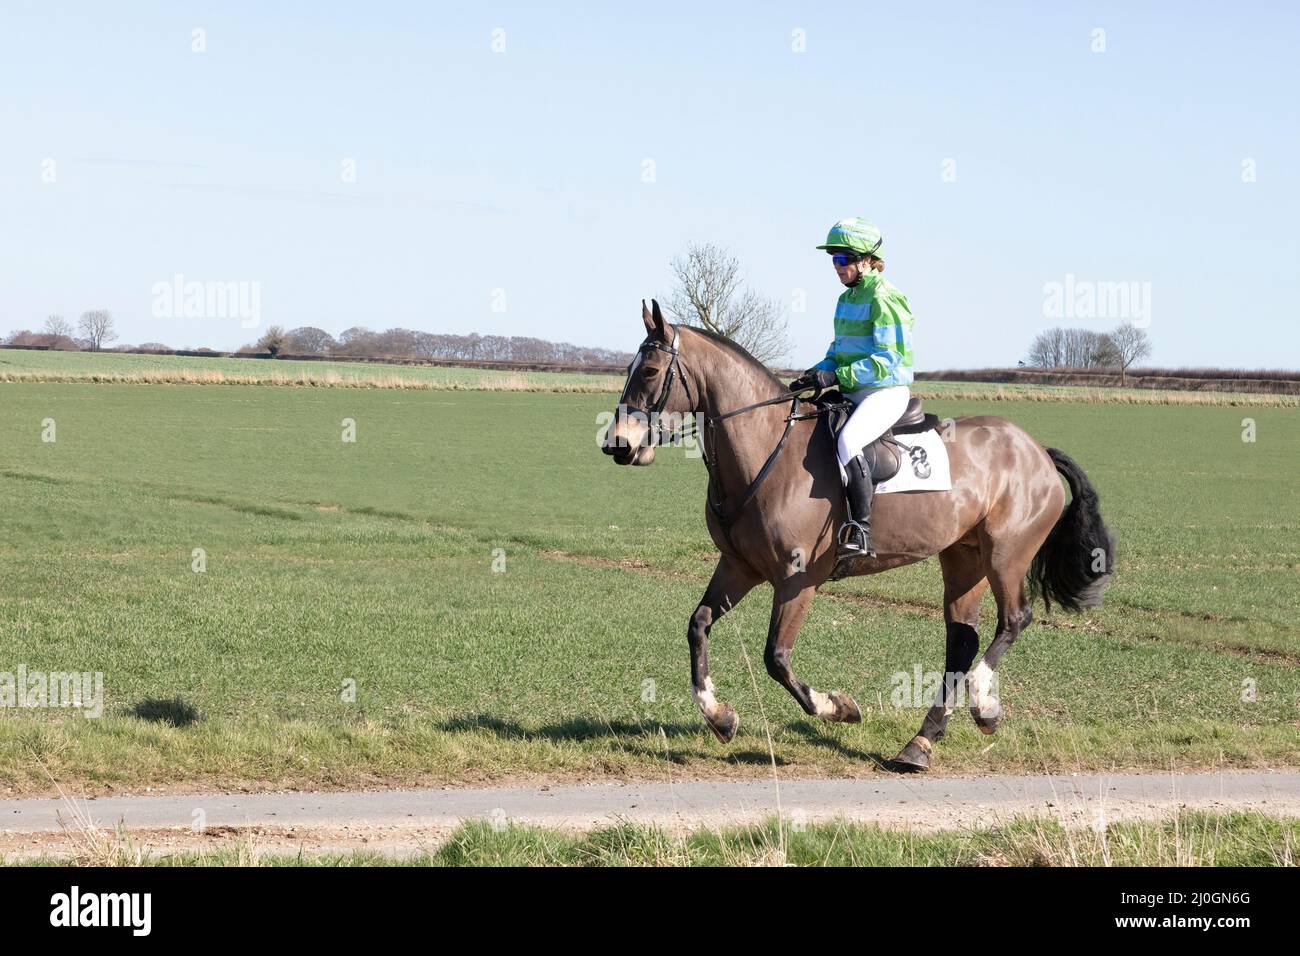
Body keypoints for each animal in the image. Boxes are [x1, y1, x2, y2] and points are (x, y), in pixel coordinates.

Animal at [600, 303, 1118, 775]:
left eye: (649, 370)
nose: (617, 444)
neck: (766, 451)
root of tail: (1037, 452)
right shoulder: (738, 566)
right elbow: (699, 624)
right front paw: (720, 717)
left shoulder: (797, 579)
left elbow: (777, 658)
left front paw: (838, 707)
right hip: (963, 557)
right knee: (962, 640)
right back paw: (919, 745)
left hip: (1005, 555)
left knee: (1013, 620)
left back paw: (983, 706)